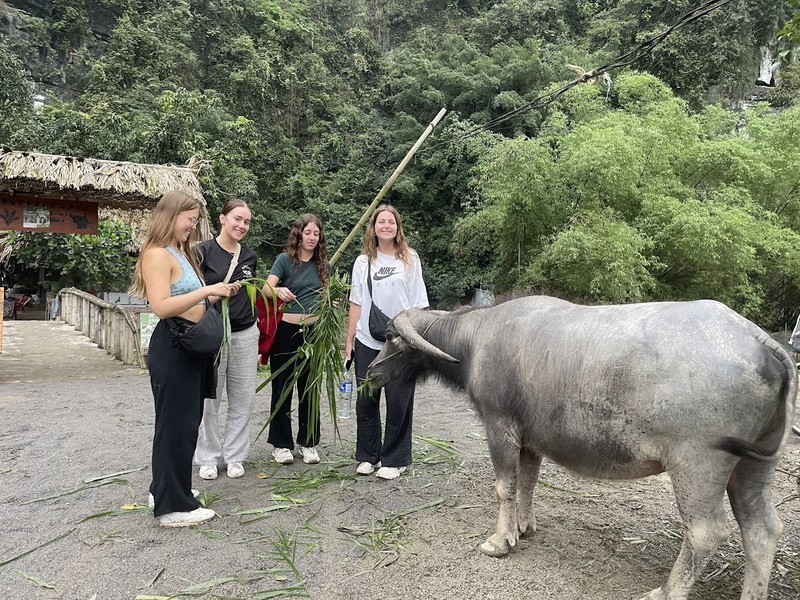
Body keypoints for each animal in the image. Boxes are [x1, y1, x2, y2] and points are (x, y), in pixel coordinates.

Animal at [366, 296, 796, 600]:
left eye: (389, 337)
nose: (370, 372)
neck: (475, 341)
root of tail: (762, 342)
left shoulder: (499, 426)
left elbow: (505, 486)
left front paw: (499, 541)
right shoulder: (531, 440)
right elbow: (528, 483)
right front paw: (523, 527)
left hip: (698, 466)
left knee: (705, 532)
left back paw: (665, 591)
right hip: (753, 466)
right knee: (762, 529)